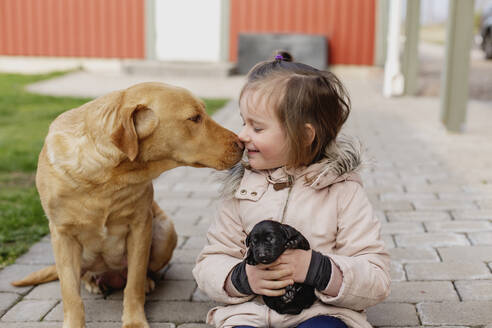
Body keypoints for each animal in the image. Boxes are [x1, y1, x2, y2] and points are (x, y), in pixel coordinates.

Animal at [11, 82, 242, 328]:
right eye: (195, 118)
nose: (242, 143)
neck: (108, 176)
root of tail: (111, 275)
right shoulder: (61, 235)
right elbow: (70, 294)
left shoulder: (140, 226)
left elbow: (134, 283)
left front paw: (134, 320)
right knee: (82, 277)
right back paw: (92, 281)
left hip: (165, 232)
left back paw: (147, 282)